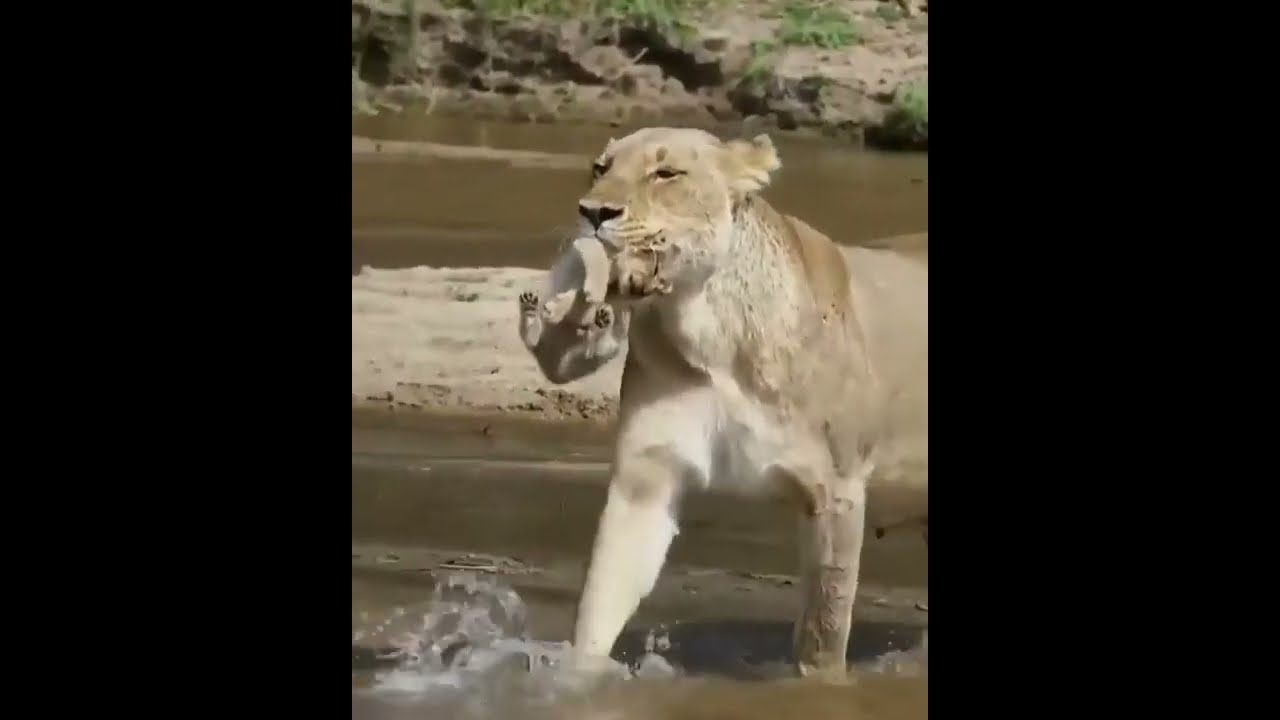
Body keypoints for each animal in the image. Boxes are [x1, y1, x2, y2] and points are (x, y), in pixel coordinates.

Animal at [519, 127, 928, 679]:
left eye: (666, 173)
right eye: (600, 168)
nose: (592, 212)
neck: (710, 329)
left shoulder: (838, 490)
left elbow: (823, 630)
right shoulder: (647, 473)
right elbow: (601, 597)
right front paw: (576, 679)